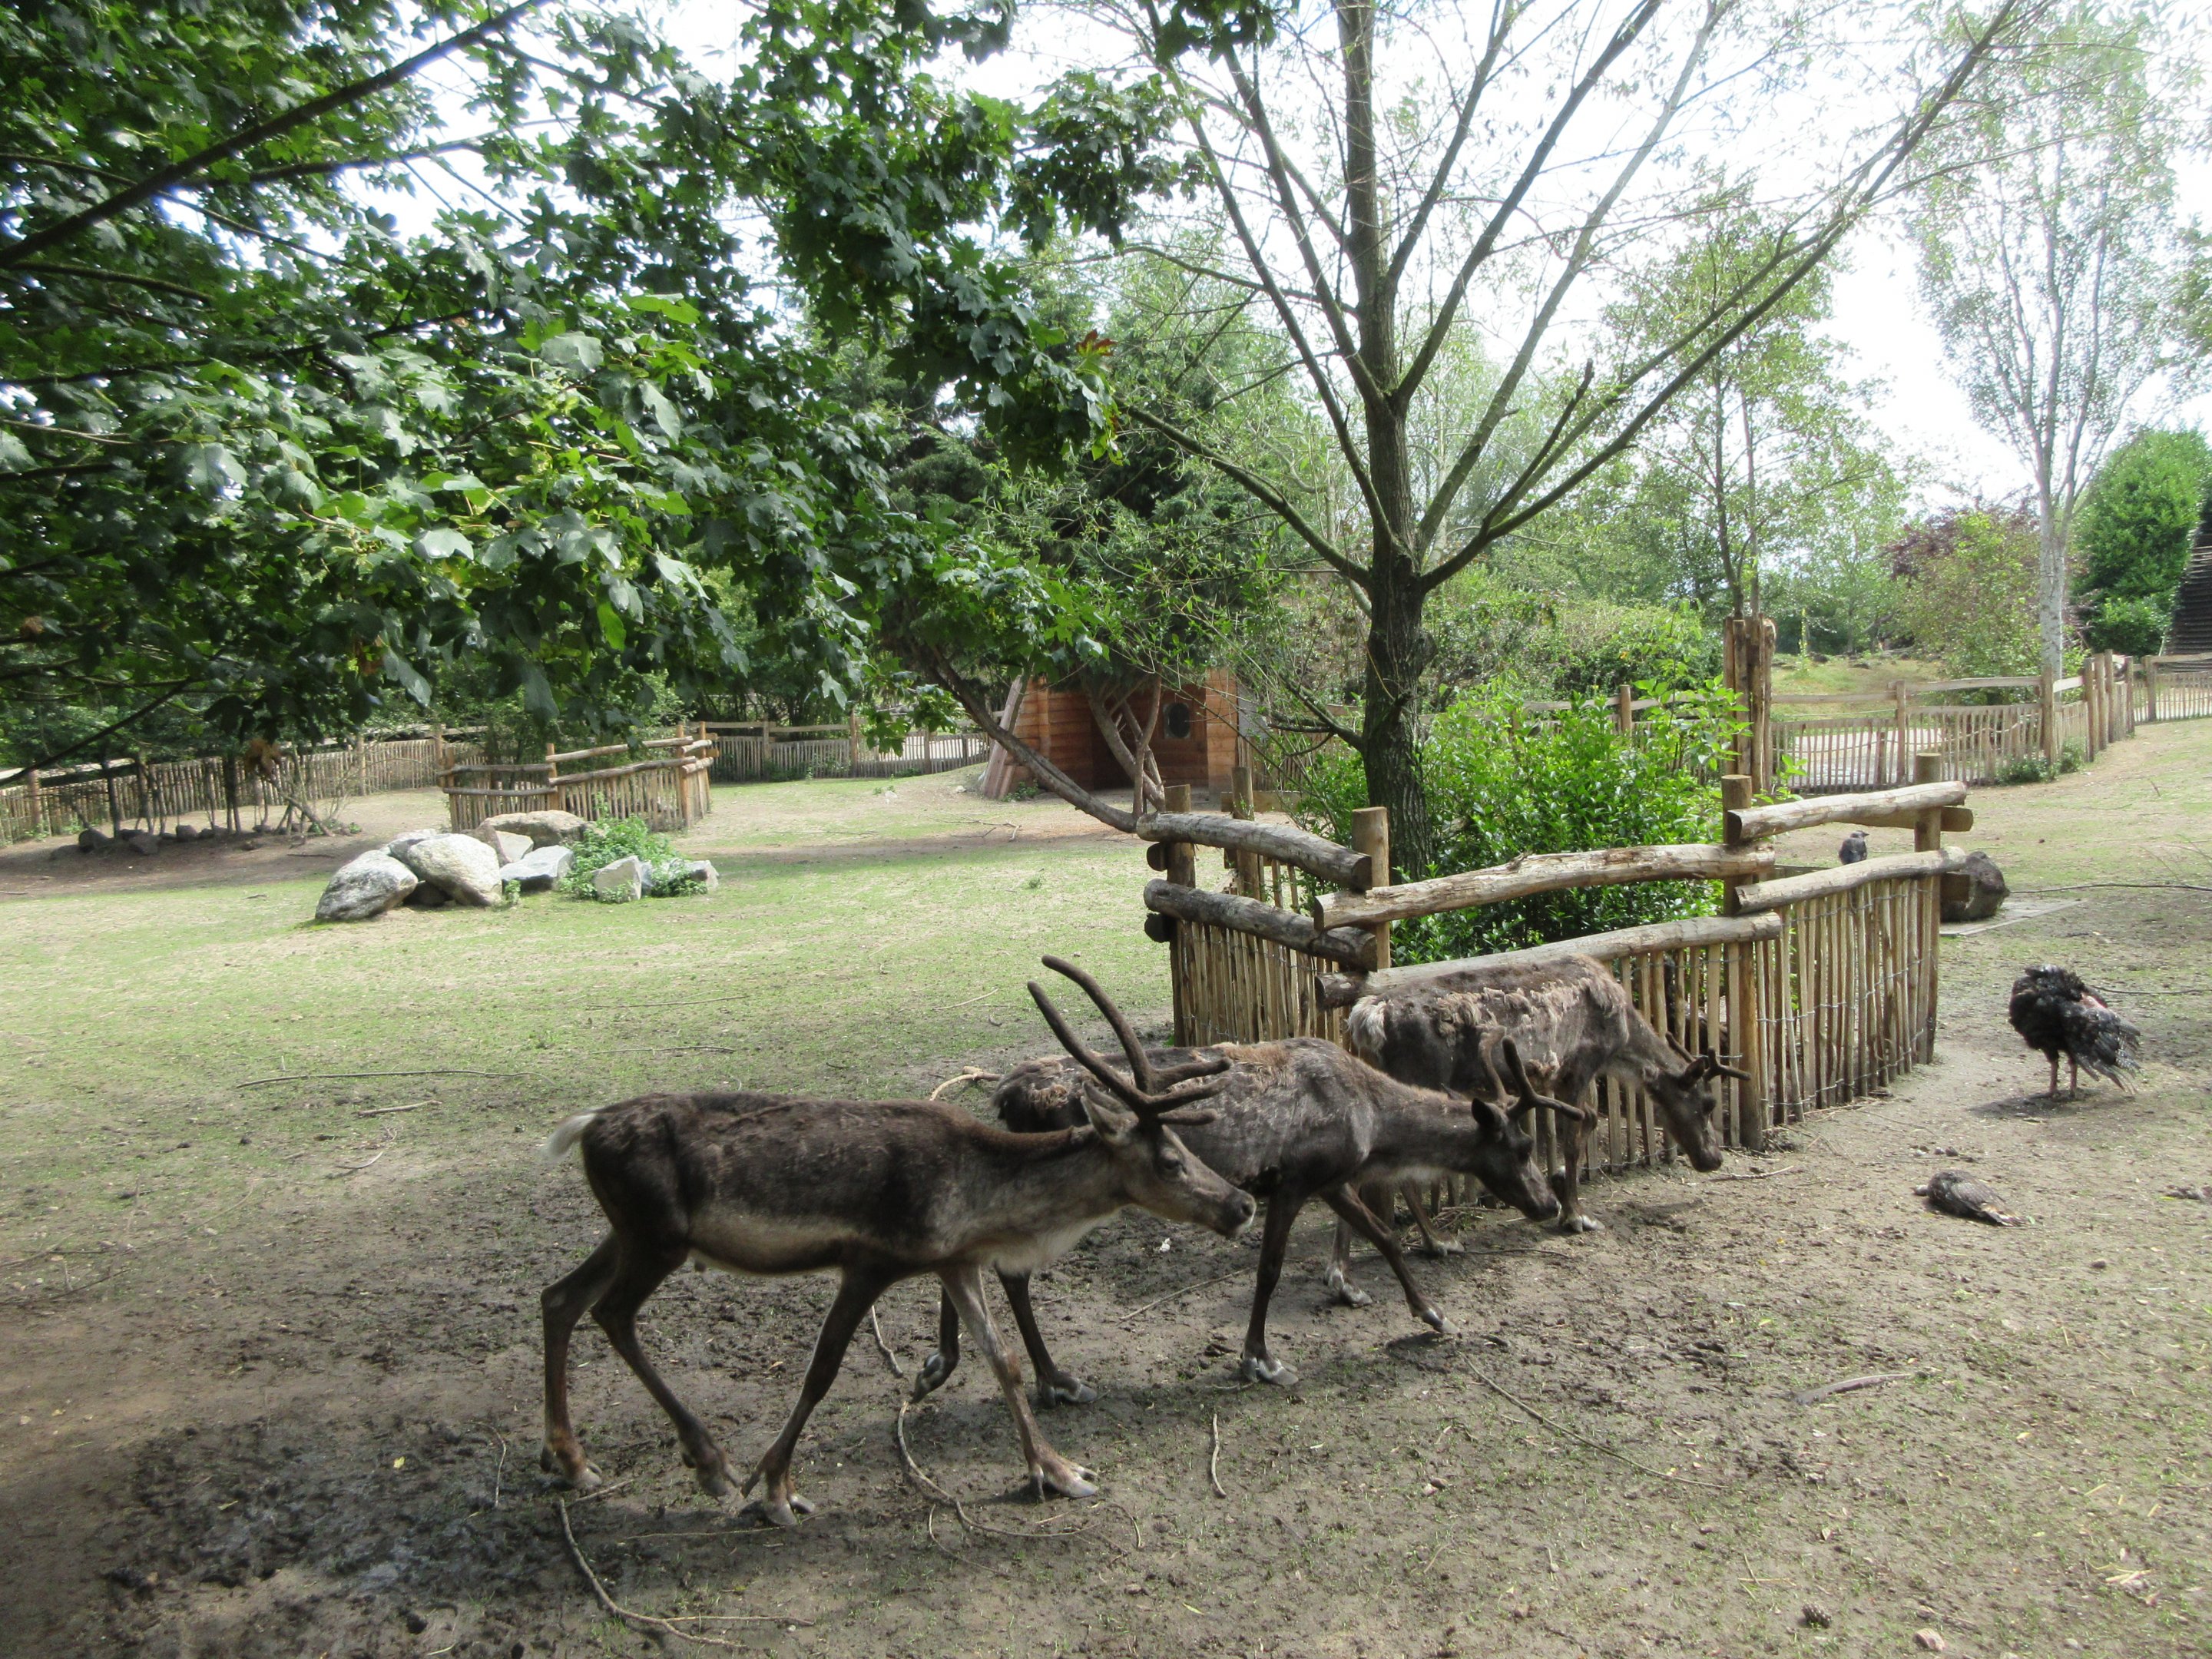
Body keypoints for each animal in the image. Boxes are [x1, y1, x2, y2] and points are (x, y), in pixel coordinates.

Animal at [536, 958, 1257, 1527]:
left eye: (1185, 1145)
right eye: (1169, 1161)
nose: (1242, 1205)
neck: (979, 1198)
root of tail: (585, 1126)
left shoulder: (956, 1262)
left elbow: (1002, 1361)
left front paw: (1057, 1471)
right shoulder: (868, 1262)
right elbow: (822, 1370)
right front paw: (775, 1489)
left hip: (628, 1233)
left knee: (559, 1298)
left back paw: (572, 1461)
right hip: (658, 1239)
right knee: (611, 1313)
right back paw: (709, 1463)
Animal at [916, 990, 1570, 1396]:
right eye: (1521, 1148)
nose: (1550, 1204)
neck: (1372, 1117)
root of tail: (1006, 1095)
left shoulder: (1330, 1180)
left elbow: (1384, 1236)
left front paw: (1429, 1312)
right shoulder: (1294, 1181)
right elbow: (1271, 1270)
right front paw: (1260, 1358)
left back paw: (942, 1362)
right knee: (1010, 1273)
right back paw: (1052, 1379)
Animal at [1343, 954, 1749, 1236]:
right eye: (1707, 1103)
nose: (1715, 1159)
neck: (1622, 1044)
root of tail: (1369, 1017)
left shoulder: (1559, 1077)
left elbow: (1576, 1127)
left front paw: (1561, 1189)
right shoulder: (1580, 1064)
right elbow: (1577, 1134)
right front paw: (1576, 1215)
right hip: (1417, 1078)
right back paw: (1434, 1240)